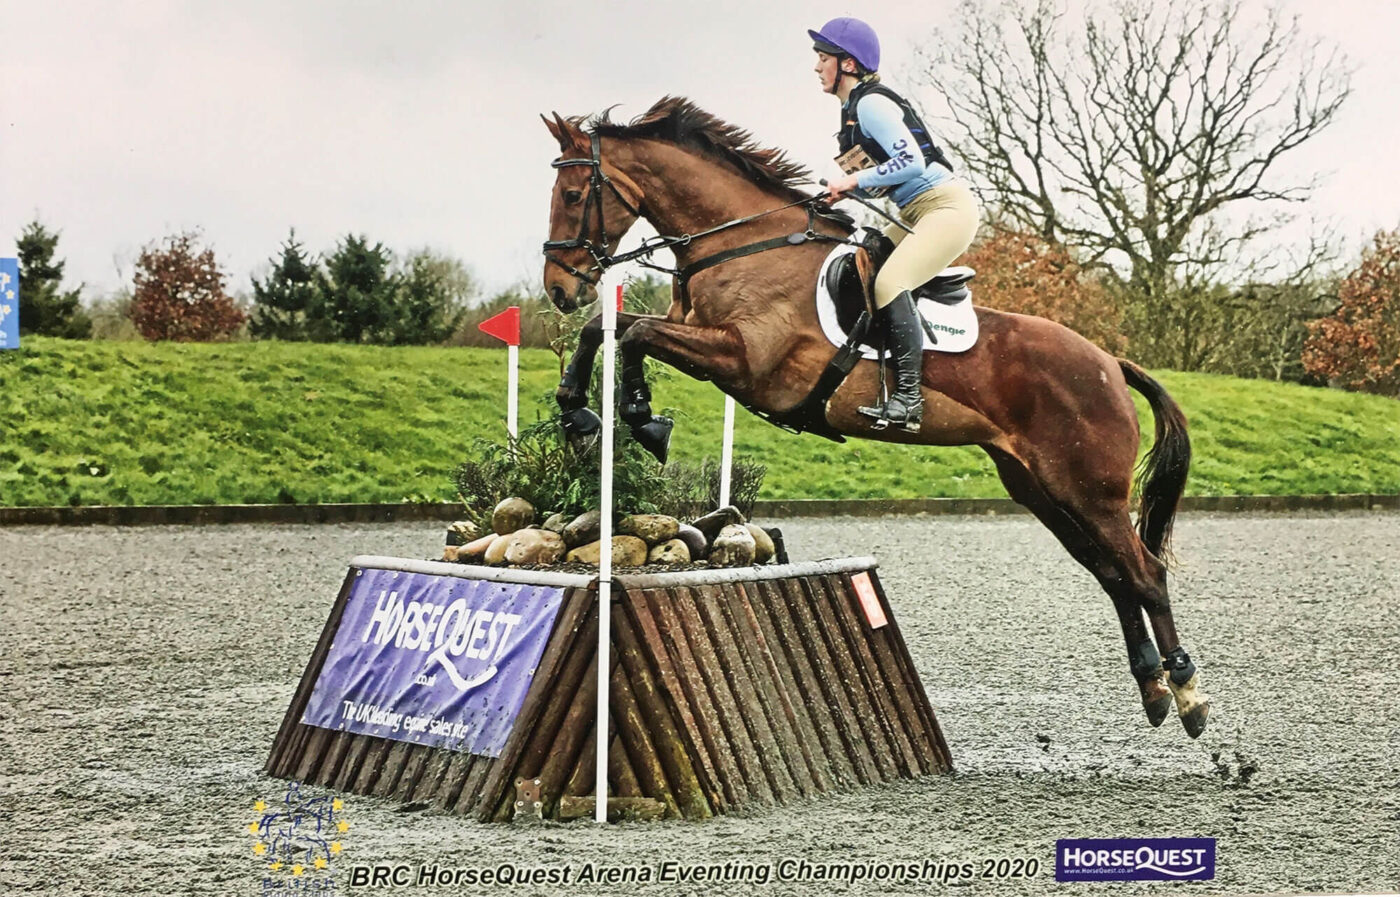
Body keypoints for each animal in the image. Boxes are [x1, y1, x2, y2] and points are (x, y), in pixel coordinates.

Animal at [540, 94, 1209, 738]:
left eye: (572, 195)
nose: (558, 289)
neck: (745, 245)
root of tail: (1109, 362)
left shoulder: (743, 361)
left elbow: (633, 335)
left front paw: (641, 418)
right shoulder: (700, 339)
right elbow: (611, 327)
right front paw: (582, 414)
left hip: (1089, 491)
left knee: (1144, 573)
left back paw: (1188, 695)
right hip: (1042, 490)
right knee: (1114, 576)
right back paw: (1152, 689)